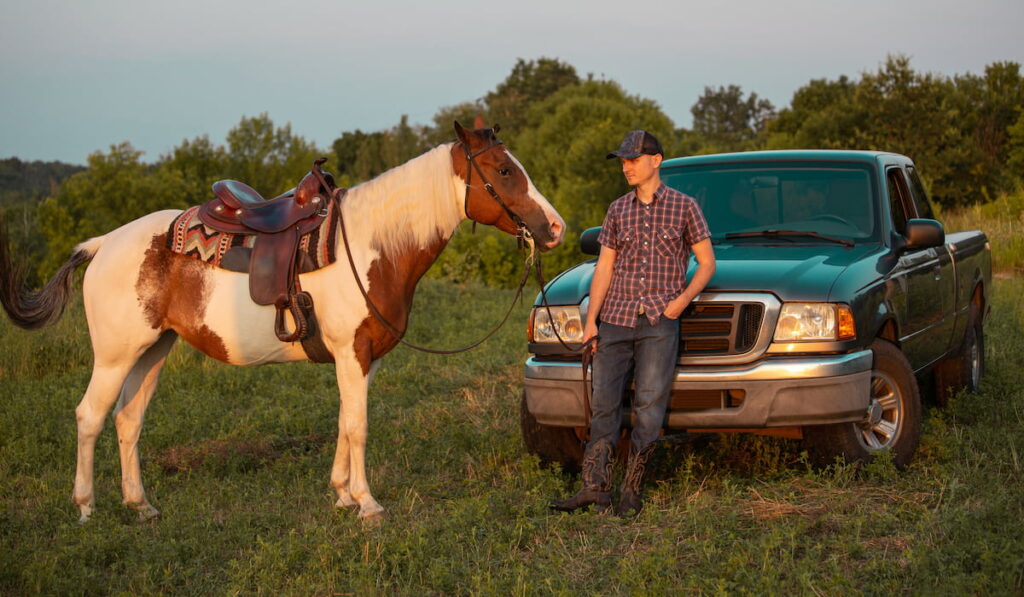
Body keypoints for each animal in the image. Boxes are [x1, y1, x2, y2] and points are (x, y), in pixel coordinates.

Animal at [0, 122, 565, 524]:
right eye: (505, 171)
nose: (555, 228)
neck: (371, 244)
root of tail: (102, 244)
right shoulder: (352, 353)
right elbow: (358, 426)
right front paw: (367, 503)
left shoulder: (363, 359)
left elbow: (345, 420)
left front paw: (342, 496)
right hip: (116, 355)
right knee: (90, 417)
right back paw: (85, 508)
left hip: (154, 351)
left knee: (127, 420)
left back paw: (140, 506)